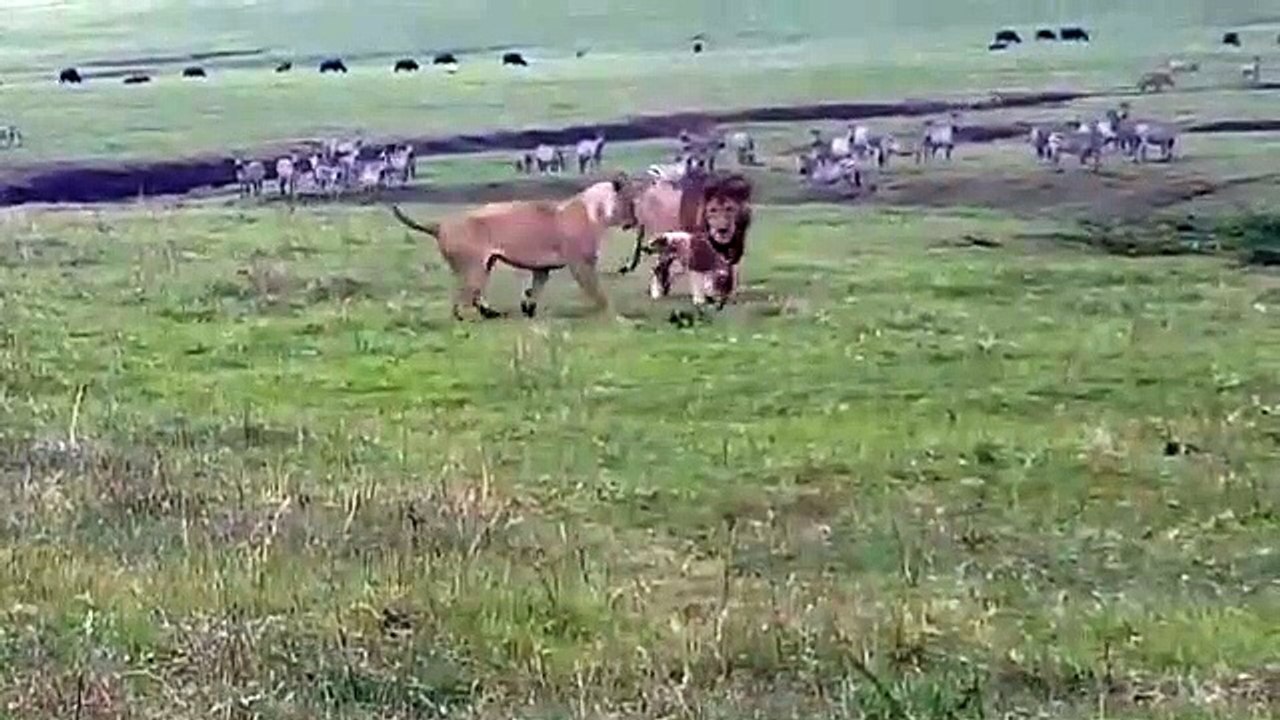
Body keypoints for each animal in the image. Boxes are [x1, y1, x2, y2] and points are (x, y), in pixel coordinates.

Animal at [389, 175, 638, 320]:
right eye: (632, 201)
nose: (636, 220)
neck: (598, 209)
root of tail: (440, 225)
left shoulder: (542, 269)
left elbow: (535, 289)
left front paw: (528, 307)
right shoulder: (581, 264)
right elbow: (598, 293)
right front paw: (614, 315)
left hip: (483, 266)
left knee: (471, 295)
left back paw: (491, 313)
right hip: (474, 268)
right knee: (463, 297)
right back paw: (471, 318)